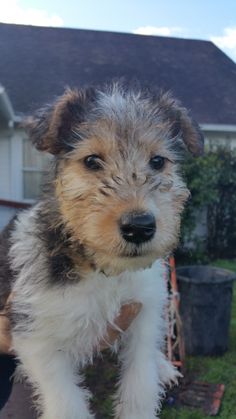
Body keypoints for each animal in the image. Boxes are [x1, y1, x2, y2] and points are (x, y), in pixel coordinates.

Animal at [0, 83, 203, 419]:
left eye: (158, 161)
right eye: (92, 161)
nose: (139, 227)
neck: (105, 271)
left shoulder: (144, 313)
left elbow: (140, 385)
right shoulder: (37, 336)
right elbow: (67, 404)